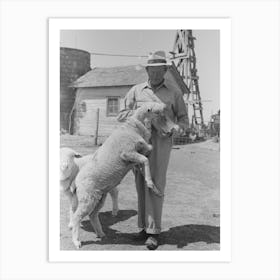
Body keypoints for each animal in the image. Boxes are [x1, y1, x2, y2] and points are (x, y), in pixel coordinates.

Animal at [71, 101, 178, 248]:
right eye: (157, 113)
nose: (173, 130)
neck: (133, 128)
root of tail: (76, 181)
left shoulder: (134, 158)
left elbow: (145, 161)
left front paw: (153, 187)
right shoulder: (128, 153)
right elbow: (145, 160)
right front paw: (151, 183)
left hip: (100, 197)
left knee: (92, 215)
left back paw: (101, 233)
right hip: (87, 198)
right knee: (77, 217)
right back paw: (77, 241)